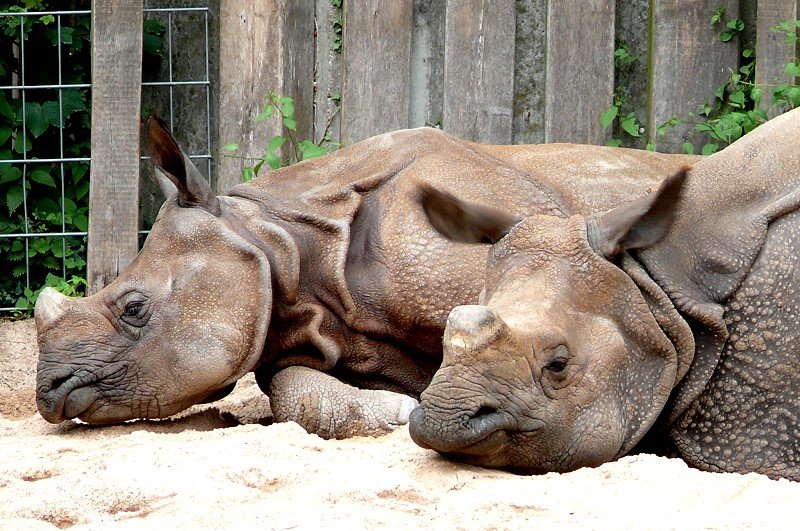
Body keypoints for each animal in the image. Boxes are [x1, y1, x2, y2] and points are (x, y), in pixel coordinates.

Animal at [36, 117, 692, 440]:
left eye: (134, 307)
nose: (48, 392)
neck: (278, 244)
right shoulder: (295, 325)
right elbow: (293, 392)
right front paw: (399, 408)